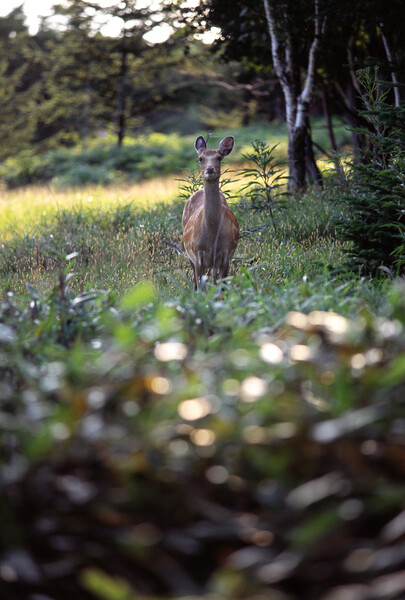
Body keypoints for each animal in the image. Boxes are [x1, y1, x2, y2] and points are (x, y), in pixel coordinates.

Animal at [181, 135, 238, 290]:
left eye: (219, 157)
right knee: (196, 281)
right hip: (188, 251)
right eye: (200, 158)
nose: (210, 169)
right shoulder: (197, 254)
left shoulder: (226, 254)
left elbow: (222, 286)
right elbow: (199, 286)